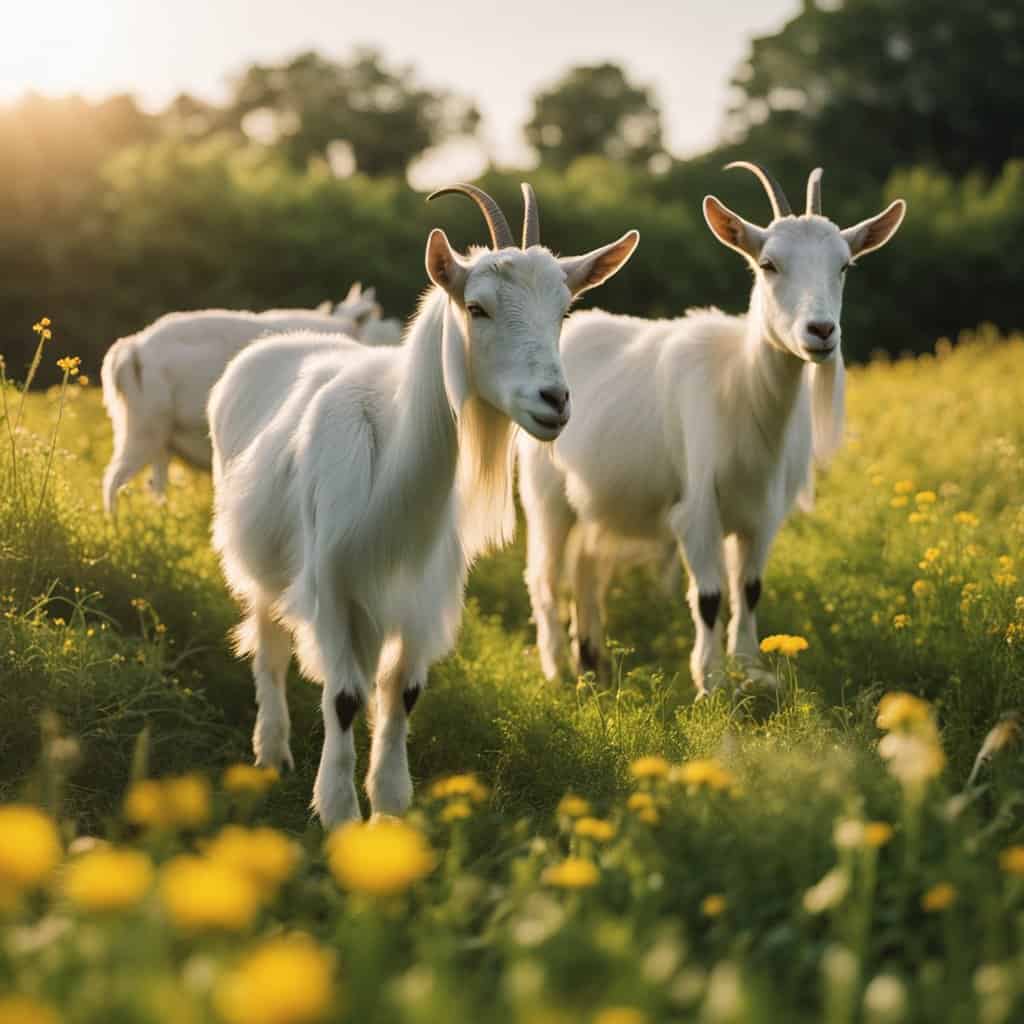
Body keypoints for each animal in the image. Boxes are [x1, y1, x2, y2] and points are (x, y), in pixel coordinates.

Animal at [100, 287, 378, 518]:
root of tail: (132, 346)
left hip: (155, 436)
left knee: (154, 484)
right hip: (143, 428)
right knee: (113, 479)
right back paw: (116, 527)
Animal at [208, 184, 638, 824]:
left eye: (564, 310)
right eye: (478, 308)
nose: (555, 401)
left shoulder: (421, 593)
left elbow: (401, 694)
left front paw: (389, 807)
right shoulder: (332, 586)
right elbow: (342, 696)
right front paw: (338, 812)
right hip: (263, 566)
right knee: (269, 649)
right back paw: (273, 756)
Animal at [519, 163, 905, 695]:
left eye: (844, 265)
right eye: (768, 264)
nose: (821, 331)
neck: (743, 391)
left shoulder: (764, 512)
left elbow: (750, 587)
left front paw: (752, 670)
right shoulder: (698, 507)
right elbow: (709, 595)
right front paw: (711, 682)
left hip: (597, 503)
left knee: (586, 567)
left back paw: (593, 664)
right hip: (545, 494)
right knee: (544, 575)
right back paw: (557, 670)